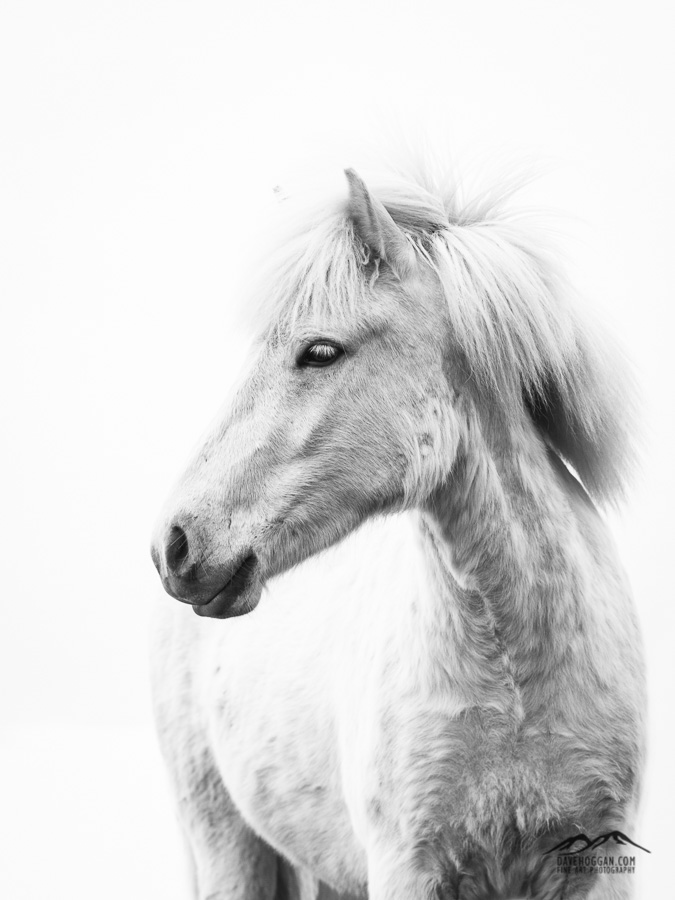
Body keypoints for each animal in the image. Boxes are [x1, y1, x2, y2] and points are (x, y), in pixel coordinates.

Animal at [150, 161, 646, 900]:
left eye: (320, 351)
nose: (174, 543)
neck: (515, 695)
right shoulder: (407, 866)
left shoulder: (600, 865)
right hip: (225, 844)